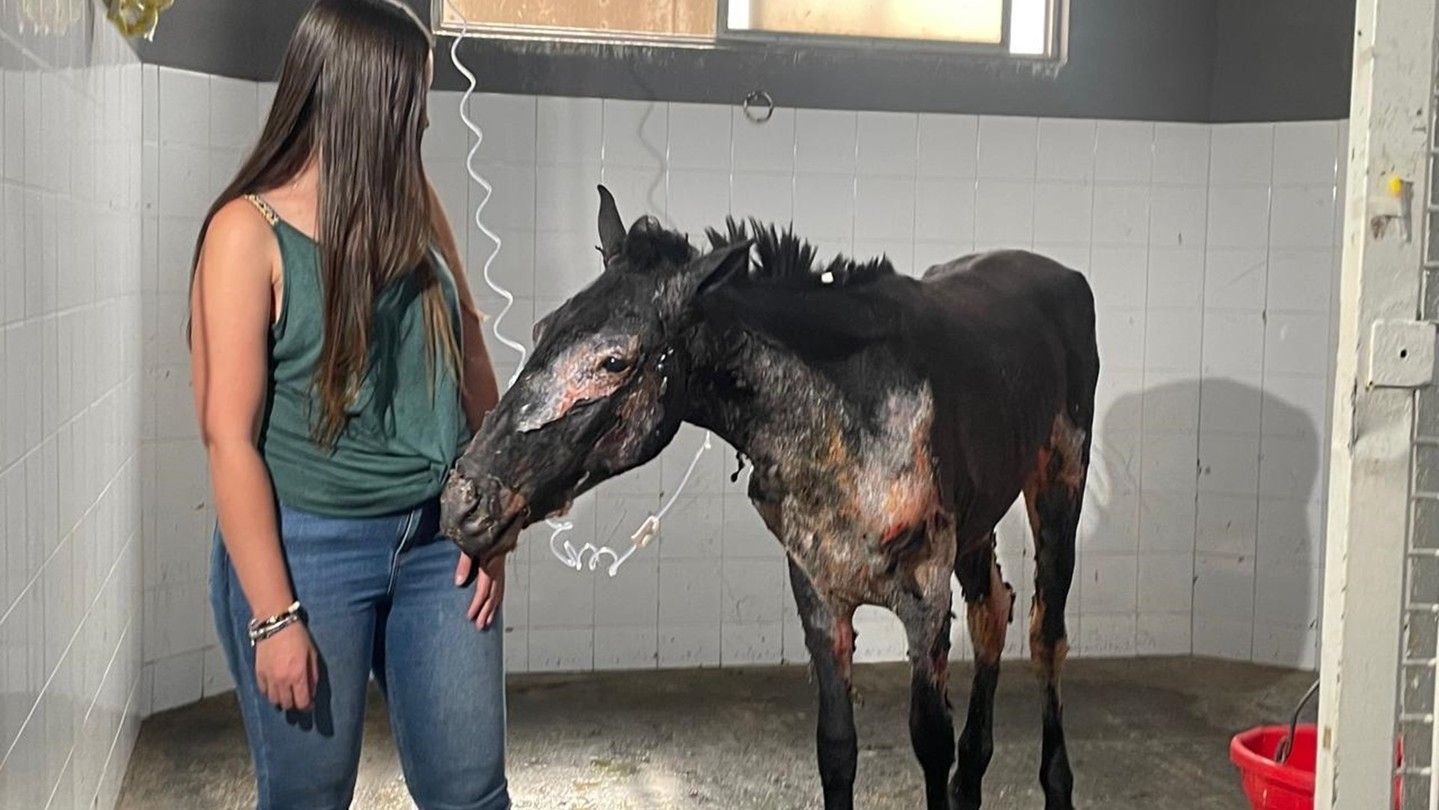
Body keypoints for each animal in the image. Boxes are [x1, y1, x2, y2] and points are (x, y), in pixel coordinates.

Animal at [441, 186, 1099, 810]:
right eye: (541, 330)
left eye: (614, 360)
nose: (462, 504)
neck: (847, 416)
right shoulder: (818, 598)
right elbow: (837, 748)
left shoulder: (924, 600)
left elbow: (929, 741)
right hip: (978, 517)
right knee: (994, 610)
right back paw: (974, 779)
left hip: (1057, 488)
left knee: (1045, 633)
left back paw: (1057, 784)